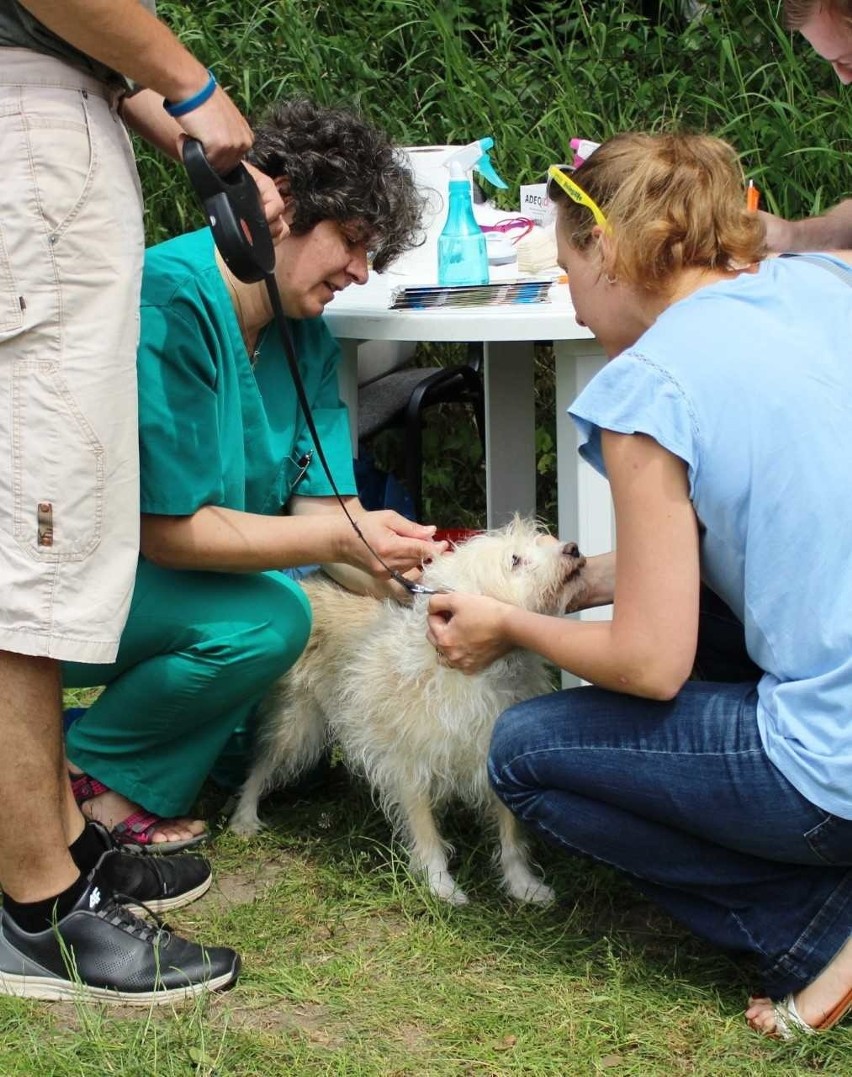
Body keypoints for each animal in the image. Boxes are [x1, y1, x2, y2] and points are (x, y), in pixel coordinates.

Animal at [229, 516, 581, 904]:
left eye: (542, 540)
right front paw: (440, 885)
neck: (481, 675)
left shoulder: (493, 758)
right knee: (260, 766)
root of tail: (309, 581)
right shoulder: (410, 767)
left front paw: (522, 884)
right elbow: (426, 833)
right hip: (296, 727)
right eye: (515, 560)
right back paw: (244, 817)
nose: (572, 549)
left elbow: (511, 835)